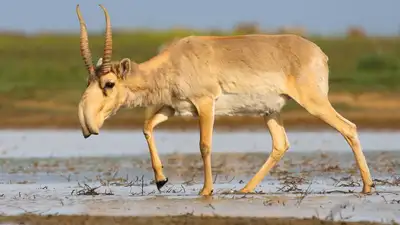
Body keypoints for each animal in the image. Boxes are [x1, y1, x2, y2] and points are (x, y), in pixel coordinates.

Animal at [76, 4, 376, 196]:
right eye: (88, 81)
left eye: (109, 84)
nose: (87, 125)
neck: (174, 61)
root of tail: (318, 53)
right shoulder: (173, 108)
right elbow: (147, 127)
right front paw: (161, 180)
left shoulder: (205, 104)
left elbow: (204, 145)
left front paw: (206, 190)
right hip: (270, 111)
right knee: (280, 144)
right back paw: (245, 189)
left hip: (314, 102)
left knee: (348, 128)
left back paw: (367, 187)